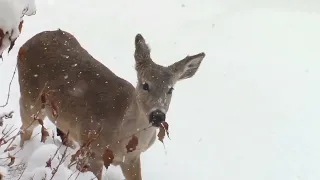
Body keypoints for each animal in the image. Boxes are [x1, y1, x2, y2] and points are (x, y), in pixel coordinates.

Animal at [16, 28, 205, 179]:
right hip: (30, 99)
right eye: (145, 84)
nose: (157, 115)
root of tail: (26, 43)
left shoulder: (131, 159)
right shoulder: (92, 150)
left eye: (170, 89)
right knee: (24, 130)